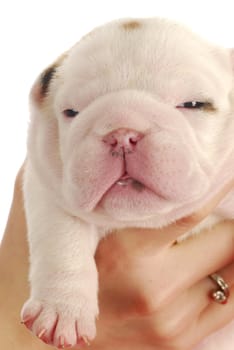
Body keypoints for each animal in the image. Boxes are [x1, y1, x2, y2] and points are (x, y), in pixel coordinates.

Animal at [21, 17, 233, 348]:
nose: (122, 133)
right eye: (71, 112)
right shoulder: (46, 187)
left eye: (194, 104)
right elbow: (62, 237)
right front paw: (62, 310)